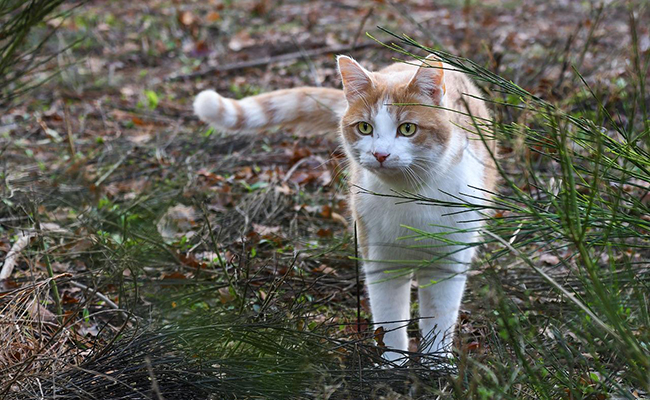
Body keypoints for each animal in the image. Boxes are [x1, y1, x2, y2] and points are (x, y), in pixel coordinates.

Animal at [195, 54, 494, 364]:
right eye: (365, 128)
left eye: (407, 129)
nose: (380, 154)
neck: (408, 196)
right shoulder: (381, 260)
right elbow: (389, 320)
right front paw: (393, 364)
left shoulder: (448, 263)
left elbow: (439, 321)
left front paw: (436, 365)